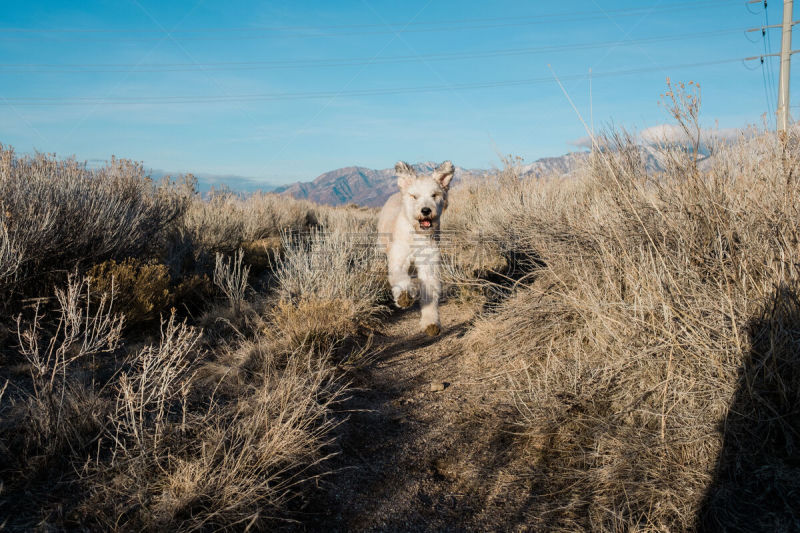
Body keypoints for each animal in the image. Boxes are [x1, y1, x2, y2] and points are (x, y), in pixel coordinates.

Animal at [376, 158, 454, 334]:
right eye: (414, 196)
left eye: (434, 195)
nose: (425, 210)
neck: (417, 235)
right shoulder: (398, 258)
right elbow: (399, 277)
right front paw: (404, 297)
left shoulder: (429, 263)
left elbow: (429, 291)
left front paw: (431, 322)